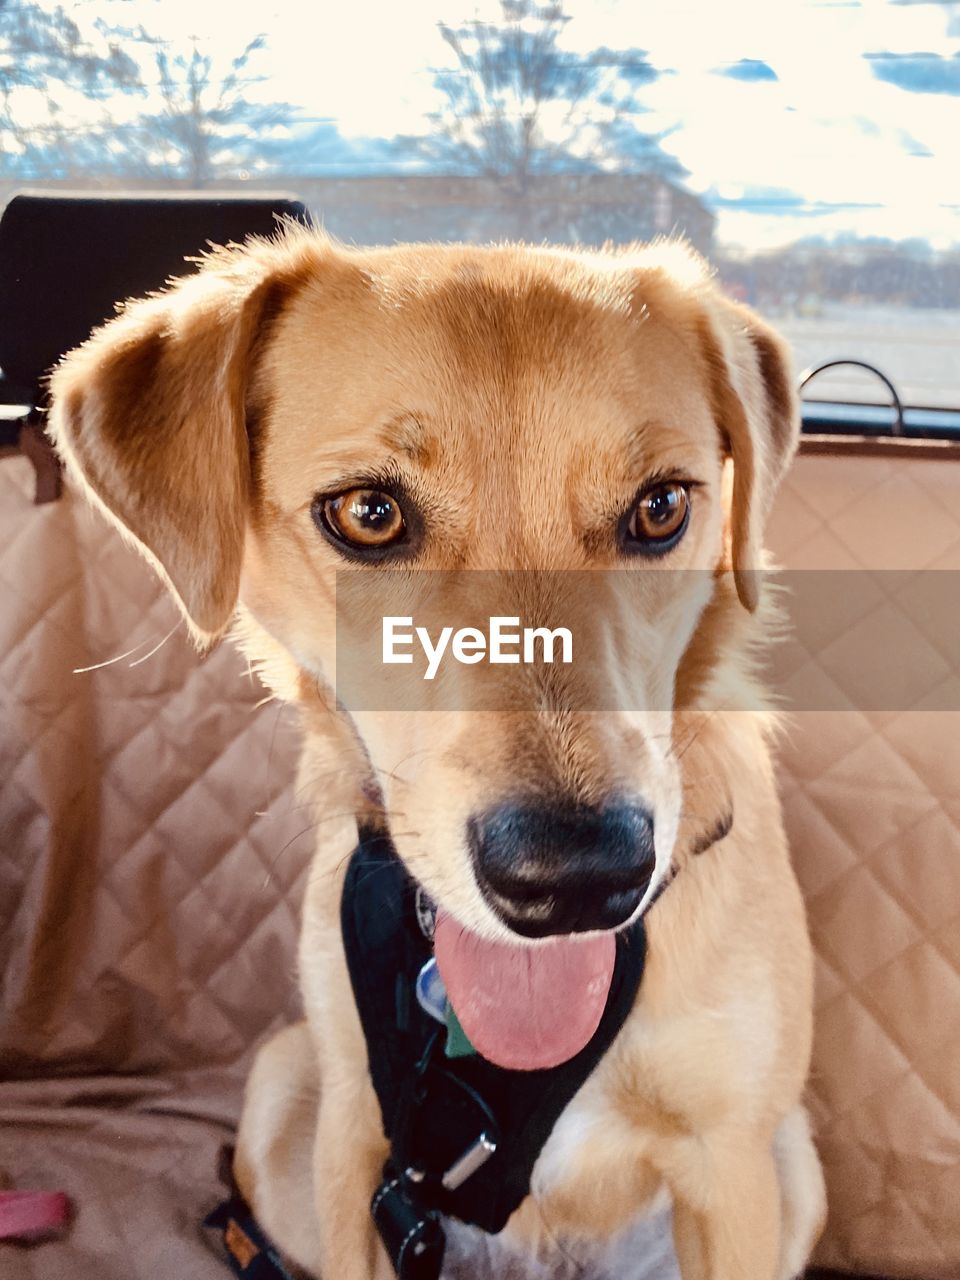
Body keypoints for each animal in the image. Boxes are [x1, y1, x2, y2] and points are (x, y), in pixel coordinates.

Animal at [48, 230, 829, 1280]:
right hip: (285, 1086)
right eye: (369, 514)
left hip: (795, 1166)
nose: (575, 881)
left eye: (662, 507)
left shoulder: (733, 1163)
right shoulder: (357, 1141)